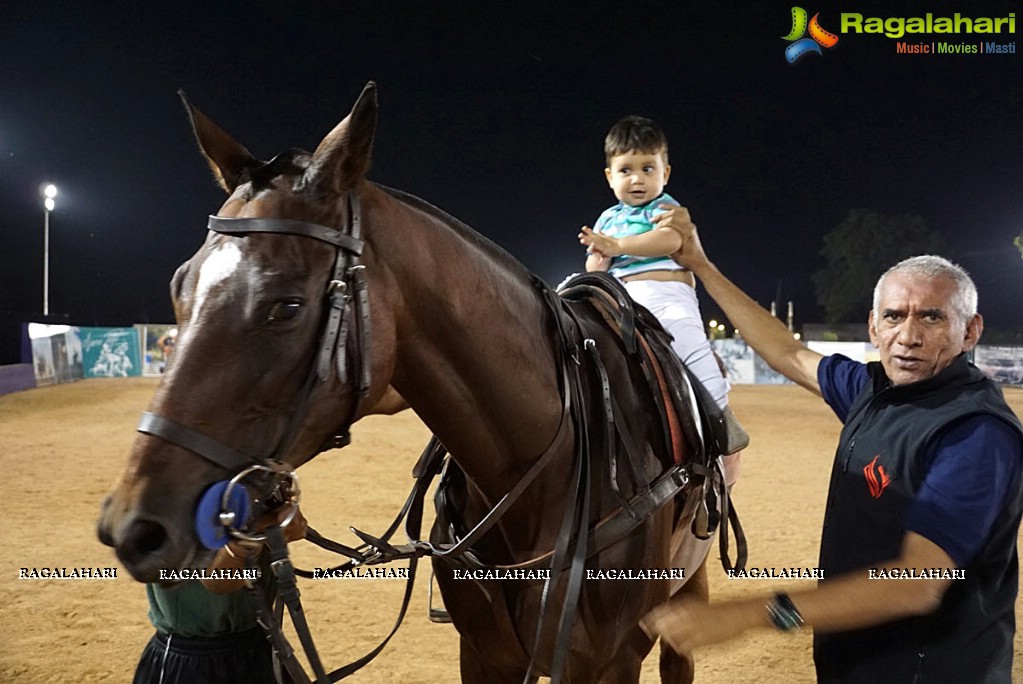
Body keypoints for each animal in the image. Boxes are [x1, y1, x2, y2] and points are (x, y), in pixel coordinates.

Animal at [96, 82, 728, 678]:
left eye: (287, 306)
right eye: (179, 287)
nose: (133, 526)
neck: (552, 463)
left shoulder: (610, 661)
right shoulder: (486, 655)